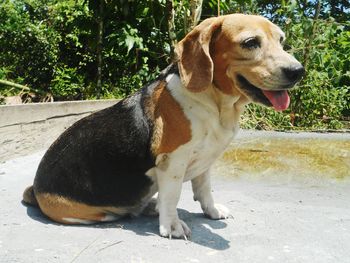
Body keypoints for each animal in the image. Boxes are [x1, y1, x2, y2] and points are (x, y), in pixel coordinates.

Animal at [23, 15, 304, 240]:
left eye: (281, 40)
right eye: (250, 43)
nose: (298, 71)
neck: (214, 102)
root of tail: (35, 190)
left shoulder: (205, 161)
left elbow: (205, 190)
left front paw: (212, 212)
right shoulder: (173, 161)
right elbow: (173, 196)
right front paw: (172, 226)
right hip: (88, 212)